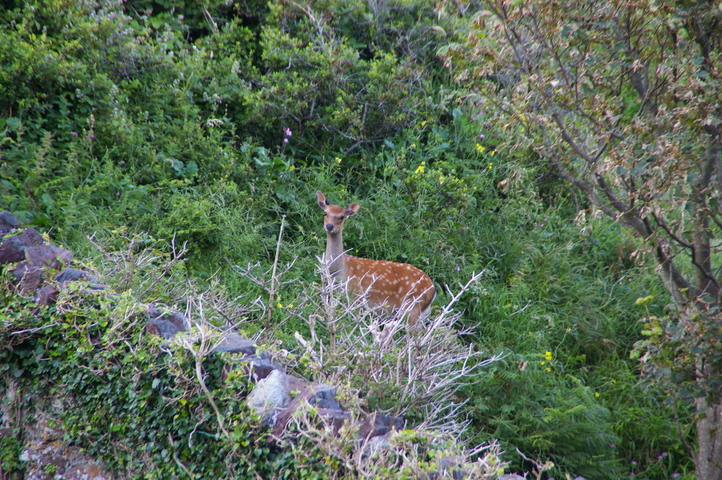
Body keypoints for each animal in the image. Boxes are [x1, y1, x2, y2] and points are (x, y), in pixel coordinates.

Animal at [314, 191, 434, 326]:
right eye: (325, 213)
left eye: (342, 217)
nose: (329, 226)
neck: (339, 271)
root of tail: (433, 290)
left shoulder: (356, 298)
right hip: (421, 314)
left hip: (412, 307)